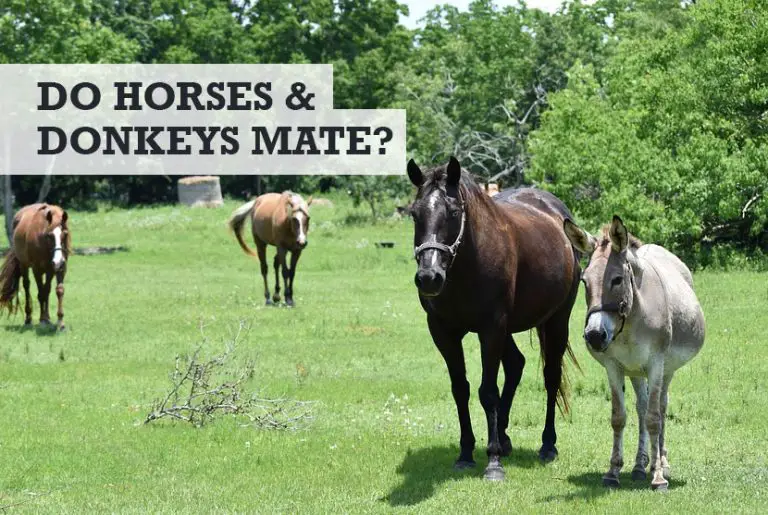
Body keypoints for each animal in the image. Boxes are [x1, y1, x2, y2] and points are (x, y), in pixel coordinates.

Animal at [407, 156, 581, 481]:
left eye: (453, 212)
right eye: (414, 214)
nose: (429, 277)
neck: (466, 266)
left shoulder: (491, 329)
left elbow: (488, 392)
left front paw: (493, 462)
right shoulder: (444, 332)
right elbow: (460, 389)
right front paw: (466, 453)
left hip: (556, 322)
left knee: (550, 377)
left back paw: (547, 445)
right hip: (508, 330)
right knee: (516, 365)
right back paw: (503, 436)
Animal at [563, 215, 705, 491]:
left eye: (617, 279)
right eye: (584, 281)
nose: (595, 336)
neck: (629, 323)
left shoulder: (656, 364)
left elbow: (654, 418)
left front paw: (658, 477)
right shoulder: (614, 366)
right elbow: (619, 417)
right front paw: (613, 471)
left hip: (666, 369)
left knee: (660, 406)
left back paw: (660, 462)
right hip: (635, 370)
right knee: (641, 405)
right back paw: (640, 465)